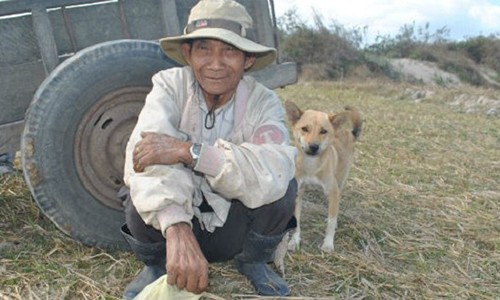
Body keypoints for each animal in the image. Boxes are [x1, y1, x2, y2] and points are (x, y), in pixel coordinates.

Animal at [286, 101, 364, 253]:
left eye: (323, 131)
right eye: (305, 129)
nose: (313, 146)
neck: (312, 166)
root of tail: (349, 132)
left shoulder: (333, 192)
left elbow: (331, 222)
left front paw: (328, 244)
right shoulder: (298, 192)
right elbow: (297, 221)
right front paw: (294, 241)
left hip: (340, 181)